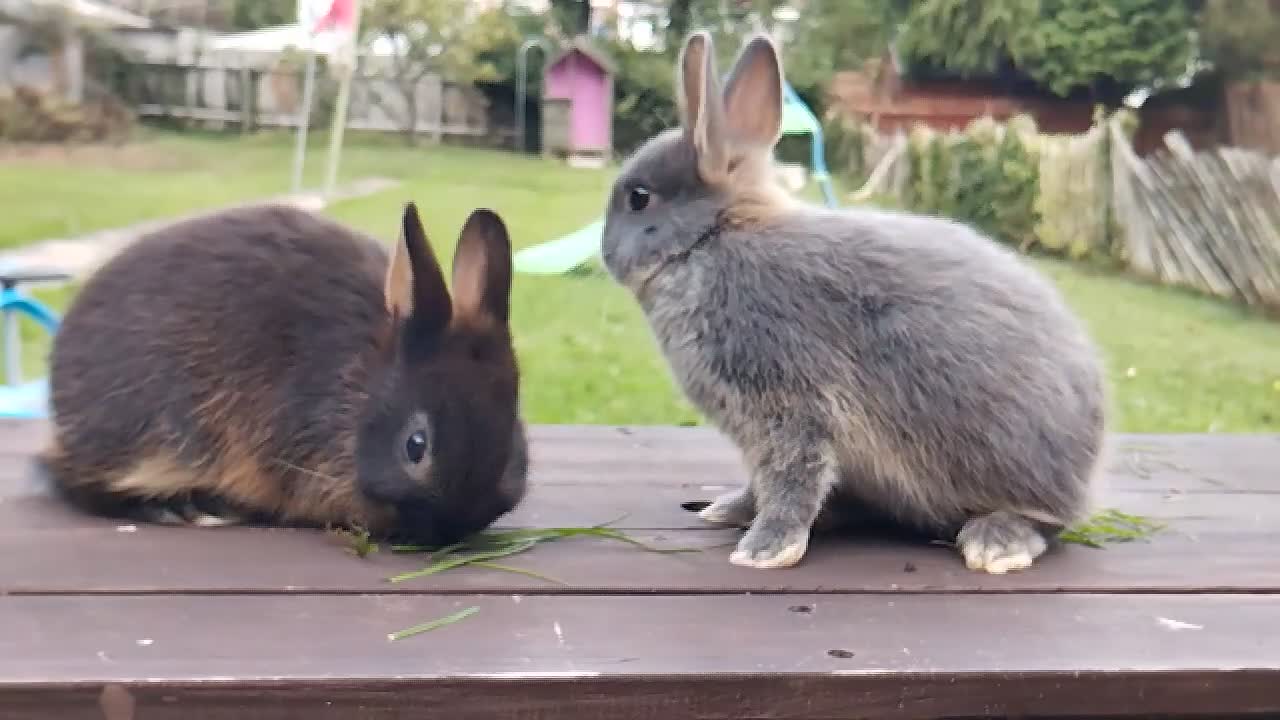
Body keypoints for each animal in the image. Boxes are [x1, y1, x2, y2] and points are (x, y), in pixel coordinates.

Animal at [599, 31, 1108, 574]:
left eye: (638, 198)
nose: (606, 253)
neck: (711, 238)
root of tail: (1086, 471)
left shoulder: (792, 407)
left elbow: (792, 479)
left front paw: (764, 551)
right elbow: (767, 484)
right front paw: (729, 512)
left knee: (1043, 521)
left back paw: (995, 544)